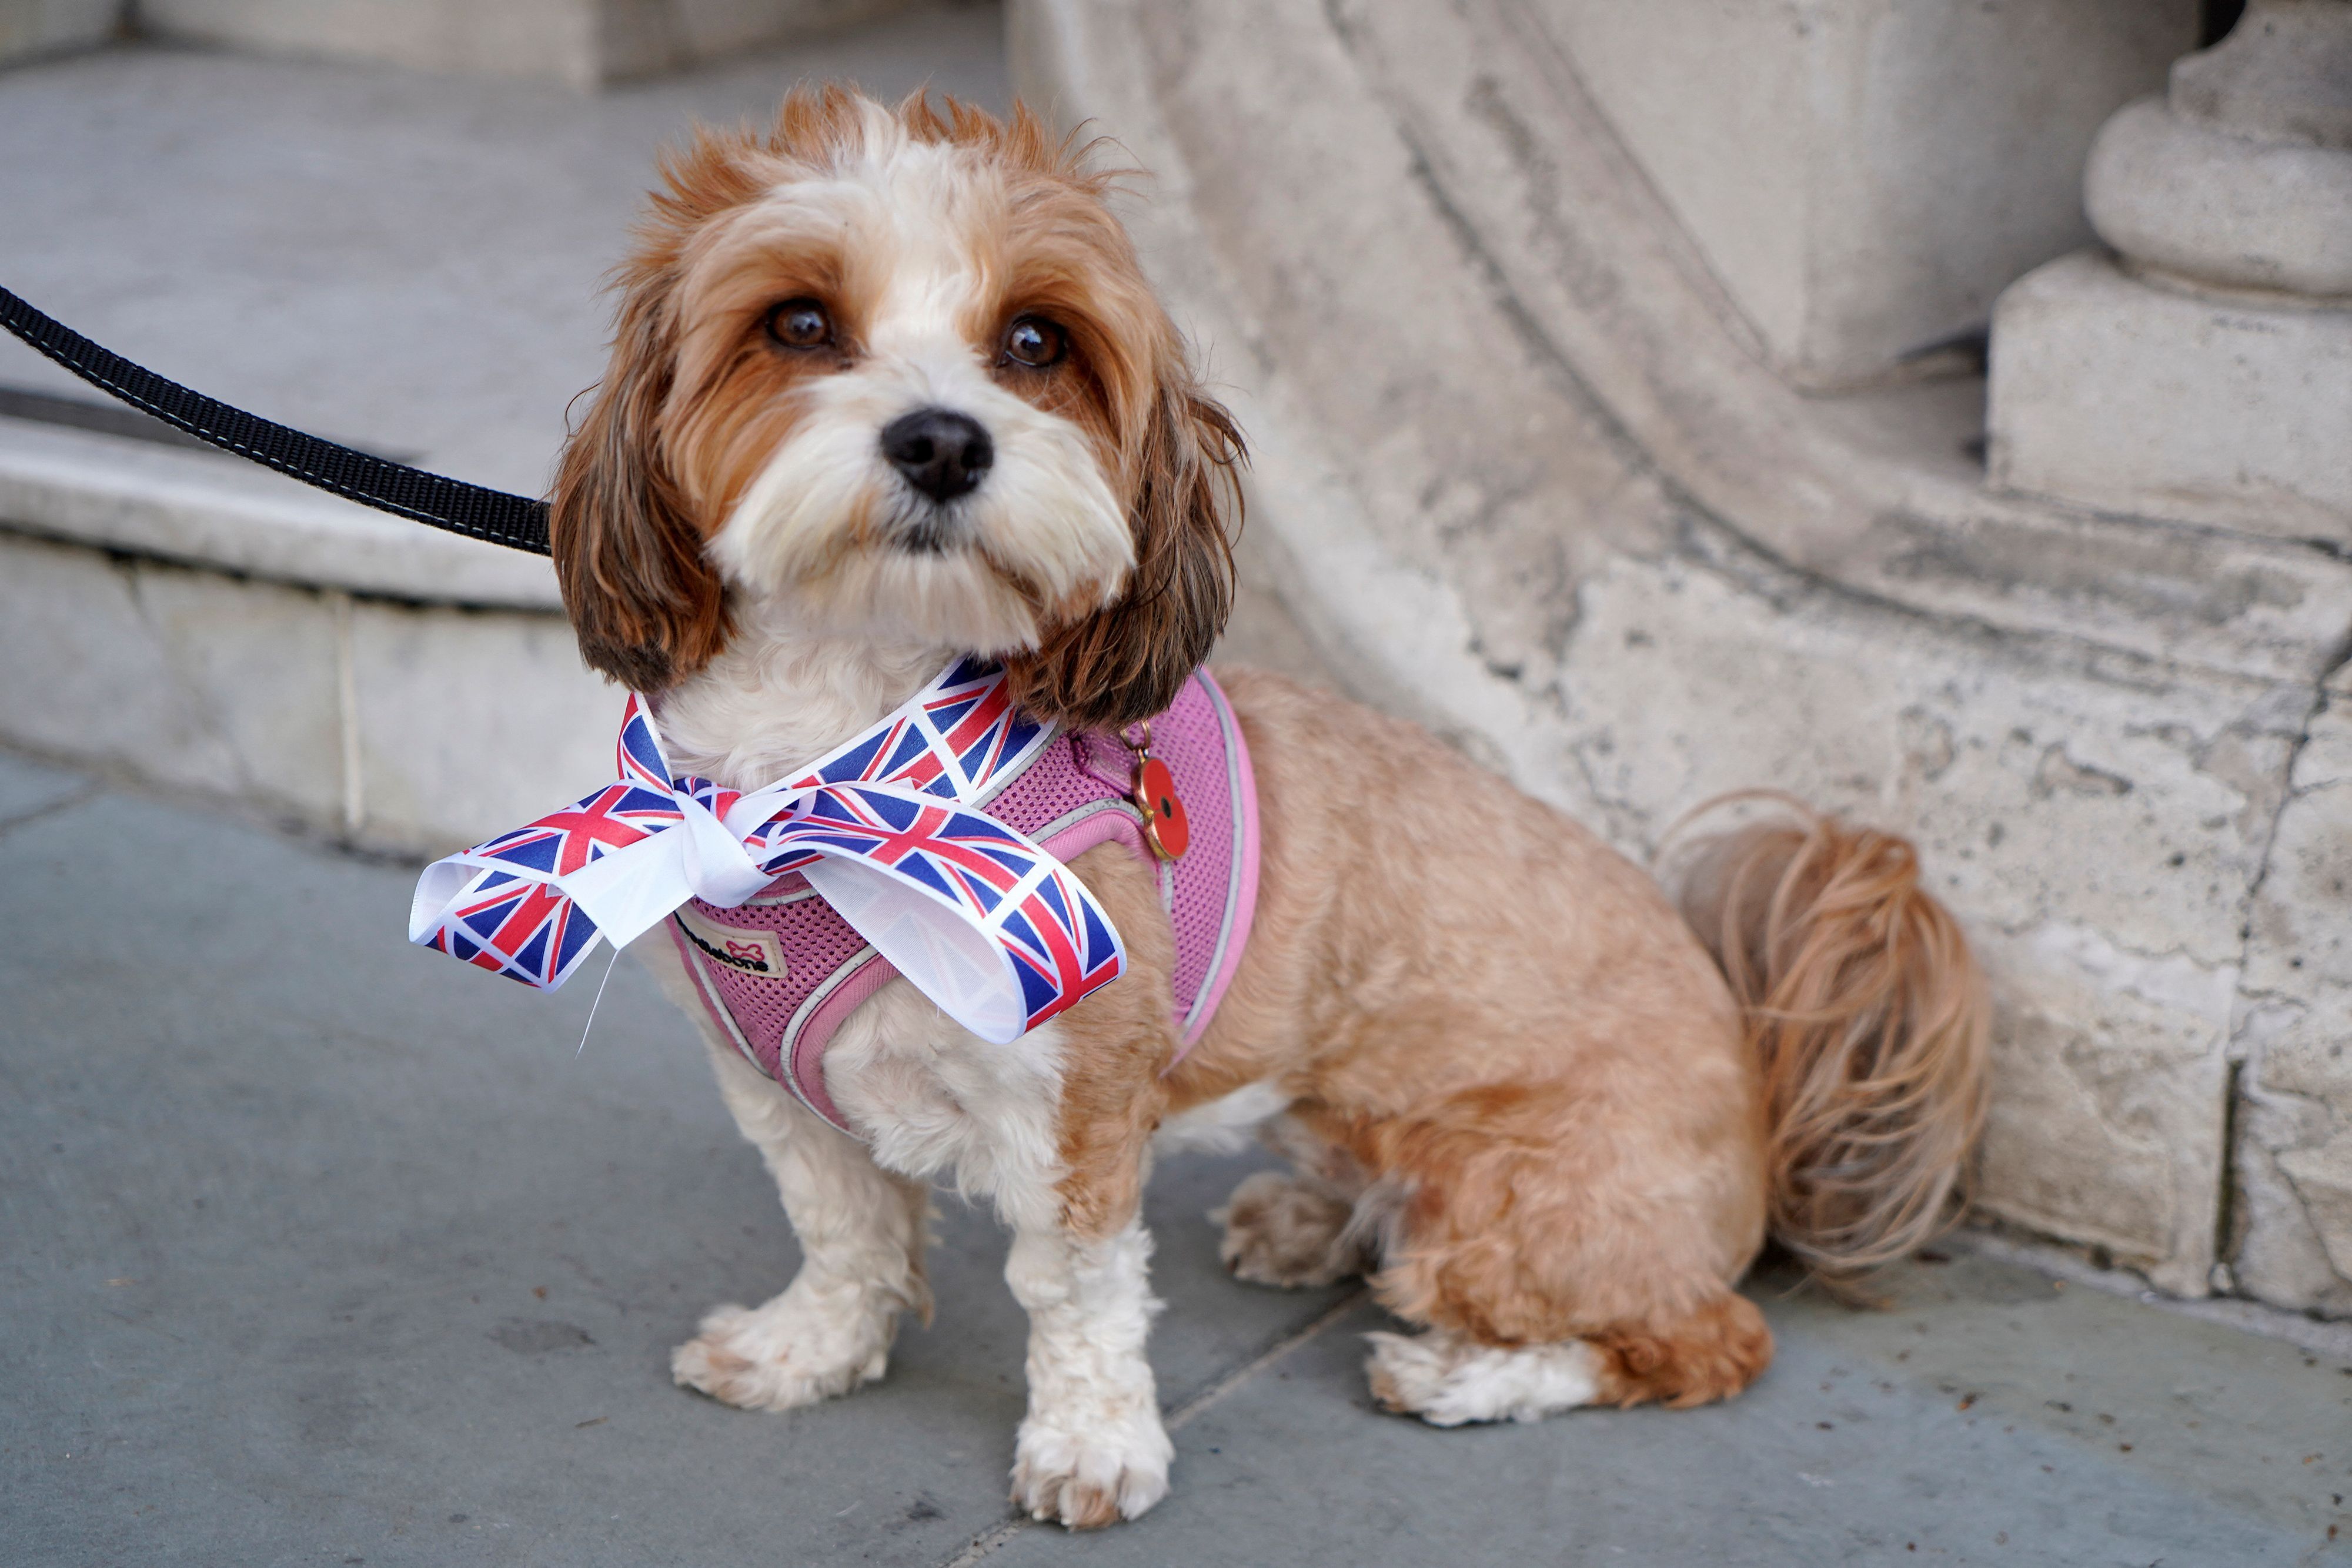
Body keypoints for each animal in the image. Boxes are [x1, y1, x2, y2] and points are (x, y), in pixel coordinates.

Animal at [546, 88, 1985, 1533]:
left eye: (1034, 342)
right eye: (798, 325)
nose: (944, 440)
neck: (843, 782)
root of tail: (1762, 1079)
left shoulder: (1073, 1107)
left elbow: (1073, 1287)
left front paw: (1090, 1445)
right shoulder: (778, 1085)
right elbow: (843, 1229)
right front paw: (811, 1349)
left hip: (1520, 1204)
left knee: (1696, 1341)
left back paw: (1469, 1374)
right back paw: (1309, 1223)